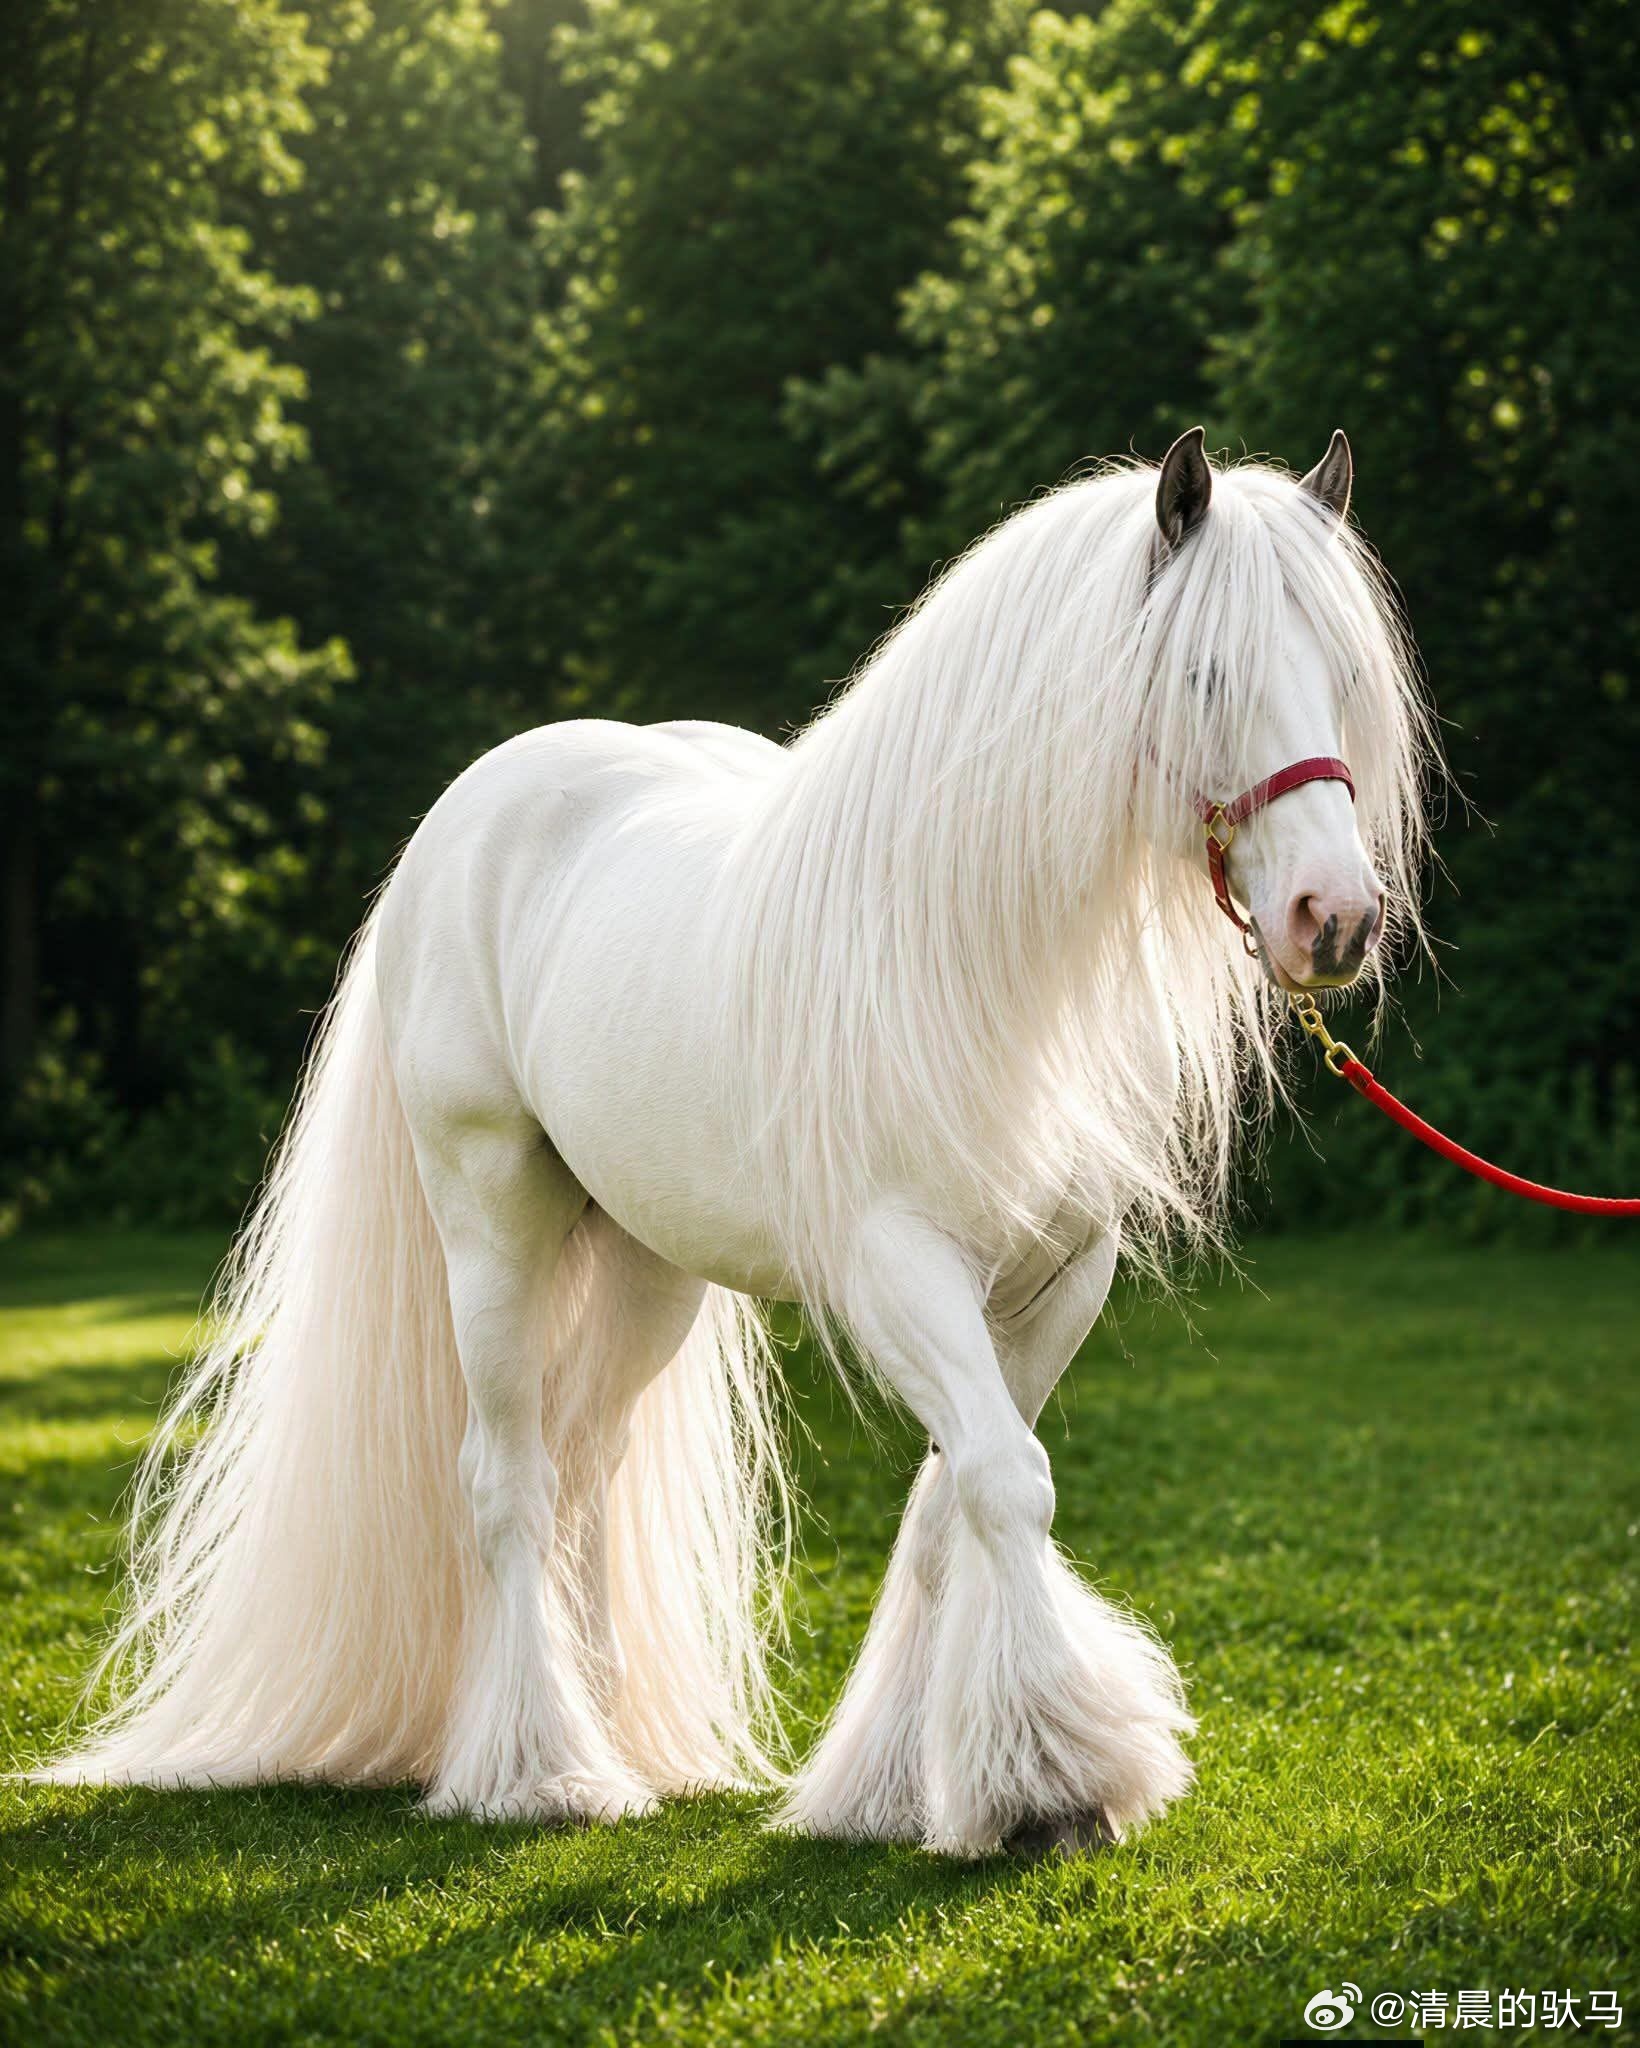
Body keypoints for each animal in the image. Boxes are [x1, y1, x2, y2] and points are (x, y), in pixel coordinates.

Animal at [34, 428, 1433, 1857]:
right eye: (1203, 672)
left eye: (1342, 679)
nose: (1333, 918)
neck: (966, 949)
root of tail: (470, 811)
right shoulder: (895, 1265)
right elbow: (1006, 1481)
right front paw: (1052, 1776)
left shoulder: (1056, 1276)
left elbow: (951, 1506)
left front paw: (898, 1784)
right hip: (491, 1224)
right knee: (506, 1479)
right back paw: (541, 1768)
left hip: (647, 1264)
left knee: (582, 1465)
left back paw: (625, 1738)